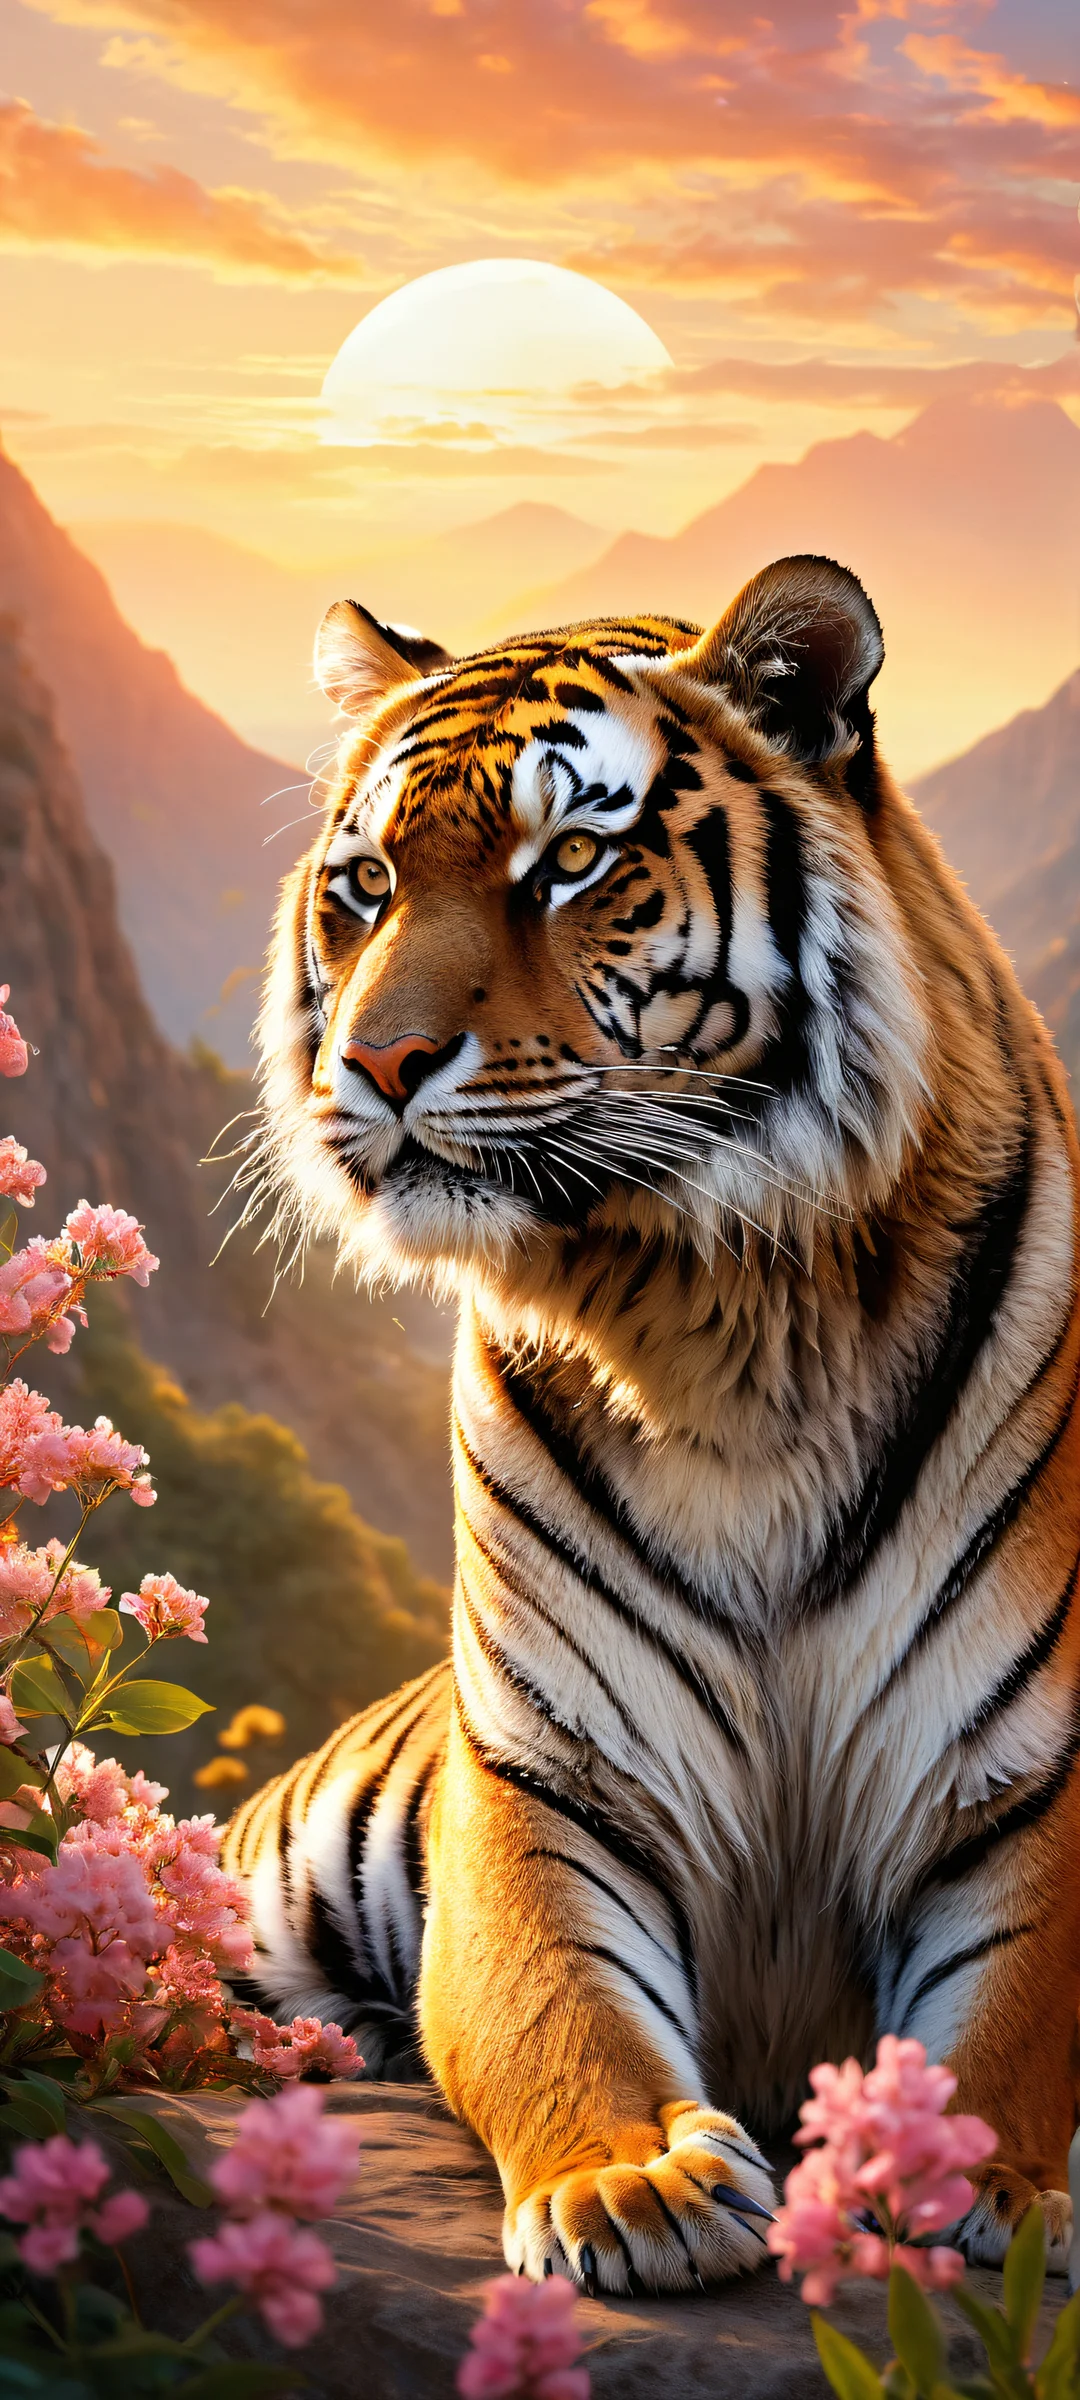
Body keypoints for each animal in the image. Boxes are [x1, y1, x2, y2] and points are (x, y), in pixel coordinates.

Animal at [223, 554, 1080, 2297]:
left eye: (571, 861)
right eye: (365, 884)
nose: (377, 1061)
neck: (722, 1316)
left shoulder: (1021, 1773)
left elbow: (1018, 2024)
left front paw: (996, 2189)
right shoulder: (547, 1779)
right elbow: (561, 2012)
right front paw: (636, 2184)